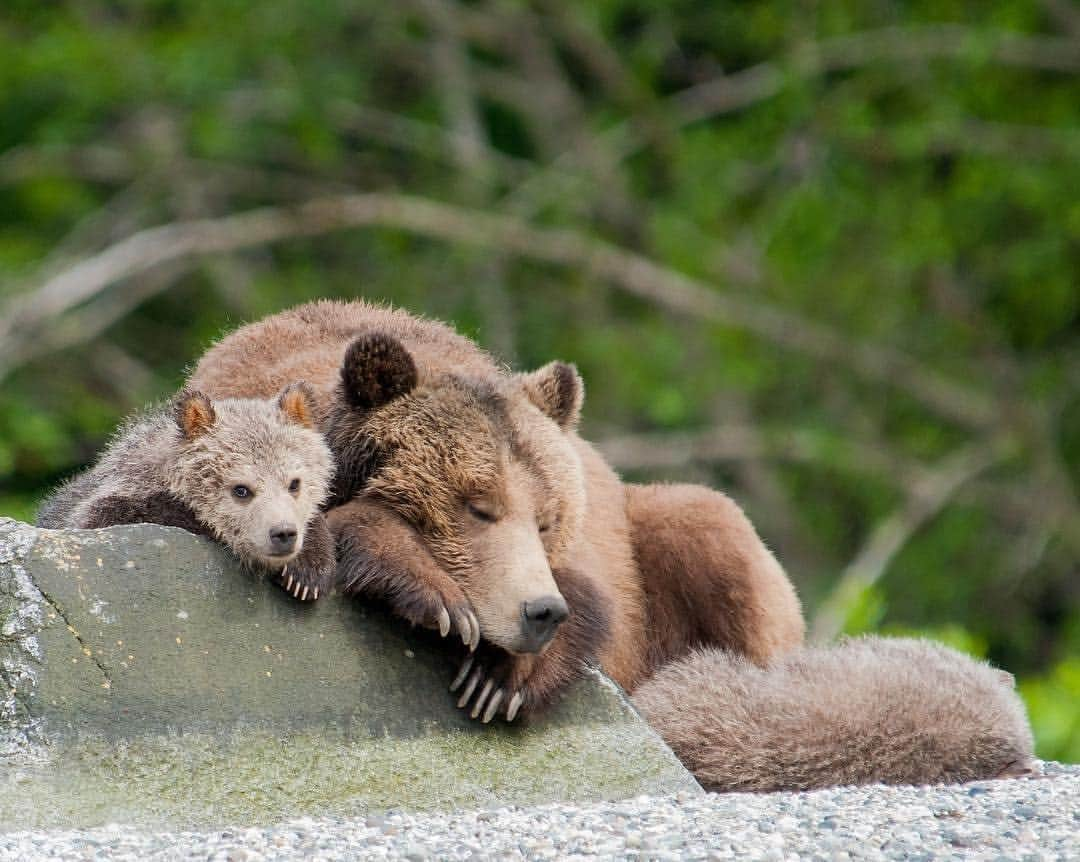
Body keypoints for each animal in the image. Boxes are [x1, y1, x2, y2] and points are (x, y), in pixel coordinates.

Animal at [190, 304, 807, 721]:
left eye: (547, 519)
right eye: (478, 507)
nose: (540, 612)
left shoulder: (600, 561)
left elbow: (592, 598)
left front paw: (497, 681)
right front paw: (440, 599)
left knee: (710, 530)